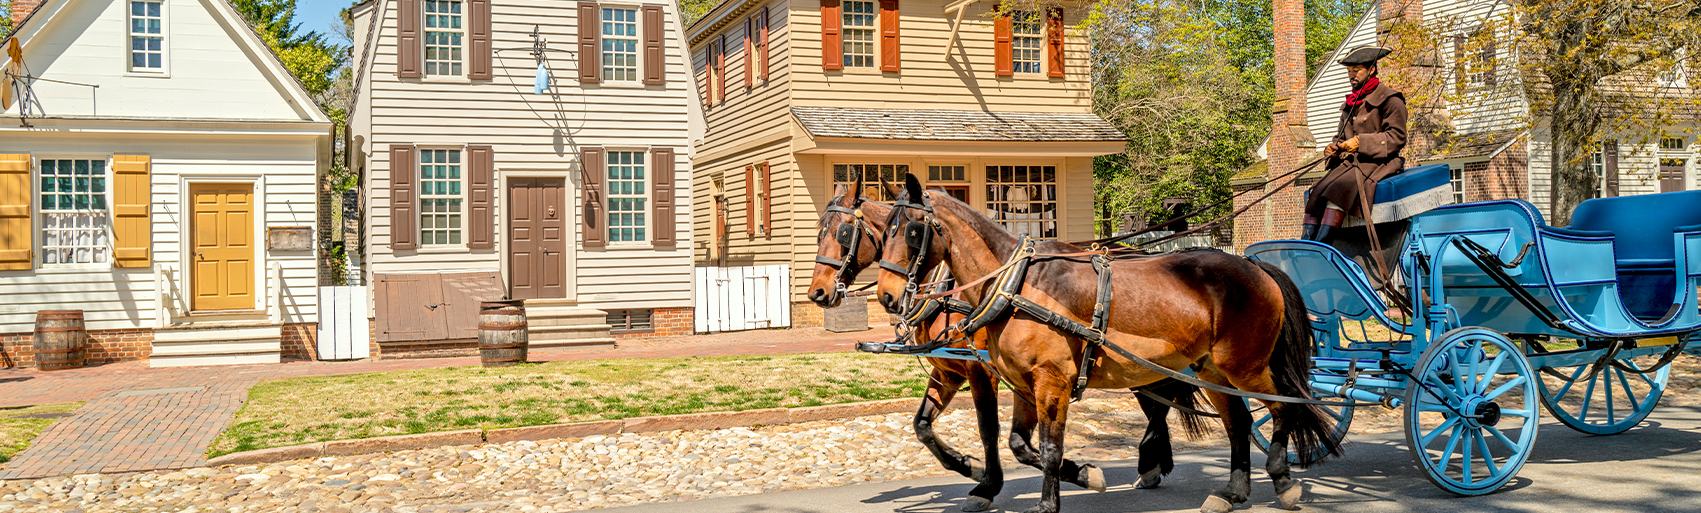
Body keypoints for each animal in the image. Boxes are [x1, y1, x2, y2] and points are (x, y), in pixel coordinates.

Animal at [802, 179, 1204, 509]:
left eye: (842, 233)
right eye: (819, 232)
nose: (817, 293)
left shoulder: (981, 369)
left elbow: (988, 428)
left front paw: (988, 483)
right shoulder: (948, 368)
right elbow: (923, 425)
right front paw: (969, 466)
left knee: (1160, 401)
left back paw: (1150, 461)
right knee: (1157, 401)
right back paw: (1154, 463)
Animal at [877, 174, 1340, 513]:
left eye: (913, 230)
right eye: (884, 232)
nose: (885, 296)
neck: (1016, 283)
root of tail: (1254, 264)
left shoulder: (1052, 382)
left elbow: (1048, 448)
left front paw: (1047, 502)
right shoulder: (1025, 384)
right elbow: (1019, 445)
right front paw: (1084, 474)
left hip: (1245, 365)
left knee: (1283, 408)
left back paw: (1282, 480)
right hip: (1211, 369)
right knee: (1239, 422)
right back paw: (1232, 491)